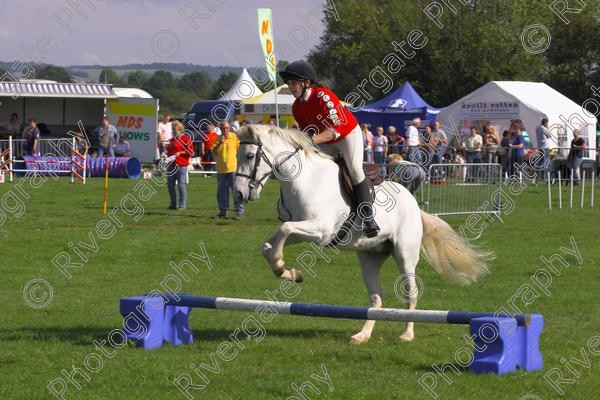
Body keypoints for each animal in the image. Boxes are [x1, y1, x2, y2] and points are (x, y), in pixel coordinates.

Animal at [232, 125, 490, 344]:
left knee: (411, 292)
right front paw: (289, 272)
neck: (303, 180)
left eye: (249, 156)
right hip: (370, 256)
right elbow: (271, 243)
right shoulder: (303, 230)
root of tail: (414, 204)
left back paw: (407, 334)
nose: (239, 194)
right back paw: (362, 335)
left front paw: (283, 268)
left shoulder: (320, 230)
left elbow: (284, 230)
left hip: (405, 255)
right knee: (376, 297)